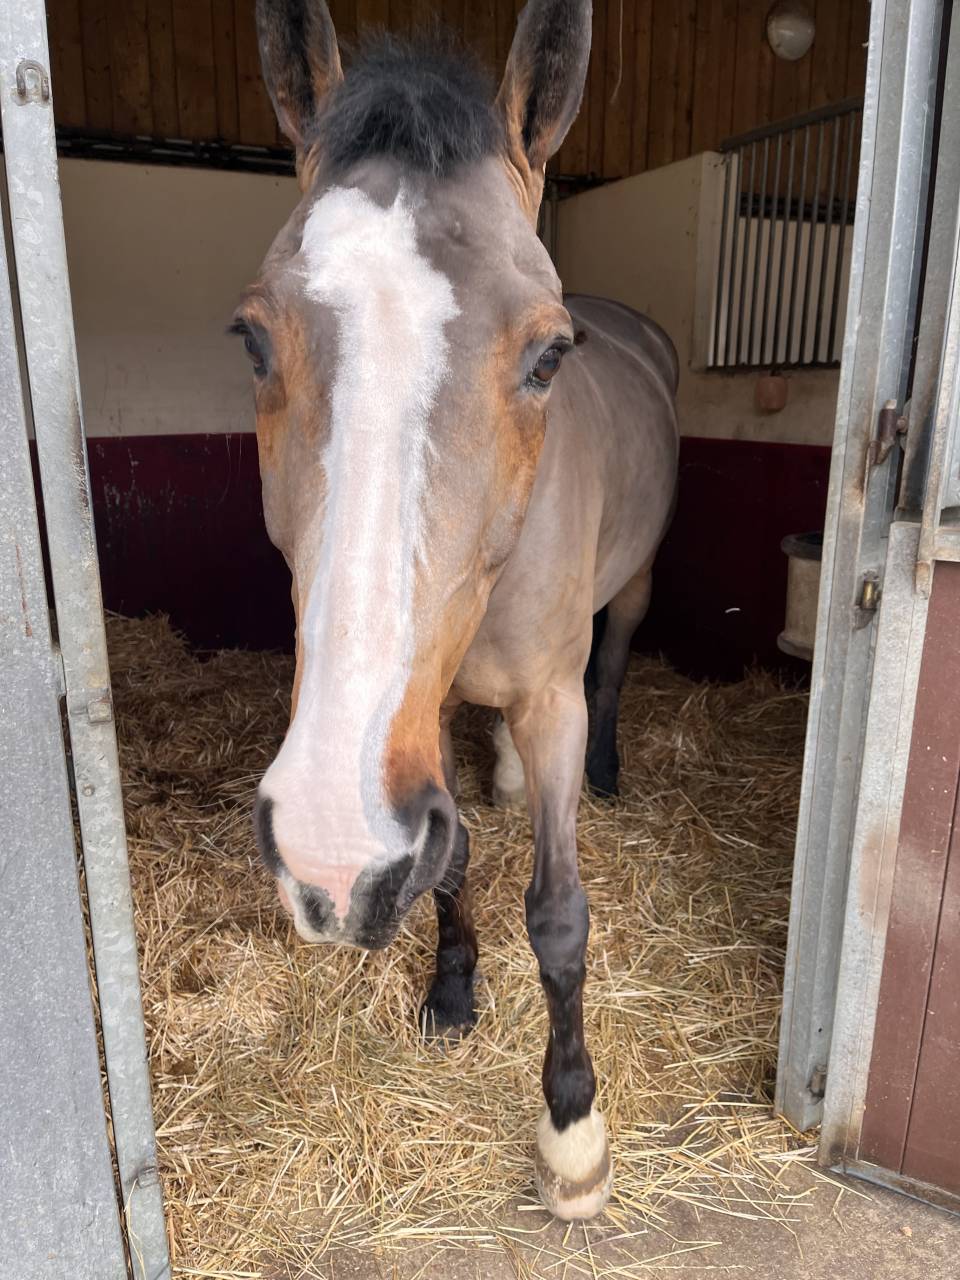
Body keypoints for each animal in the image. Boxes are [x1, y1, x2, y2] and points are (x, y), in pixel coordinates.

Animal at [236, 0, 678, 1220]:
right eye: (253, 339)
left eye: (549, 354)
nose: (330, 850)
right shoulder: (415, 721)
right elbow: (459, 855)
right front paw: (451, 993)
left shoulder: (549, 700)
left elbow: (559, 913)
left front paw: (572, 1131)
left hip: (630, 598)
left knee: (612, 667)